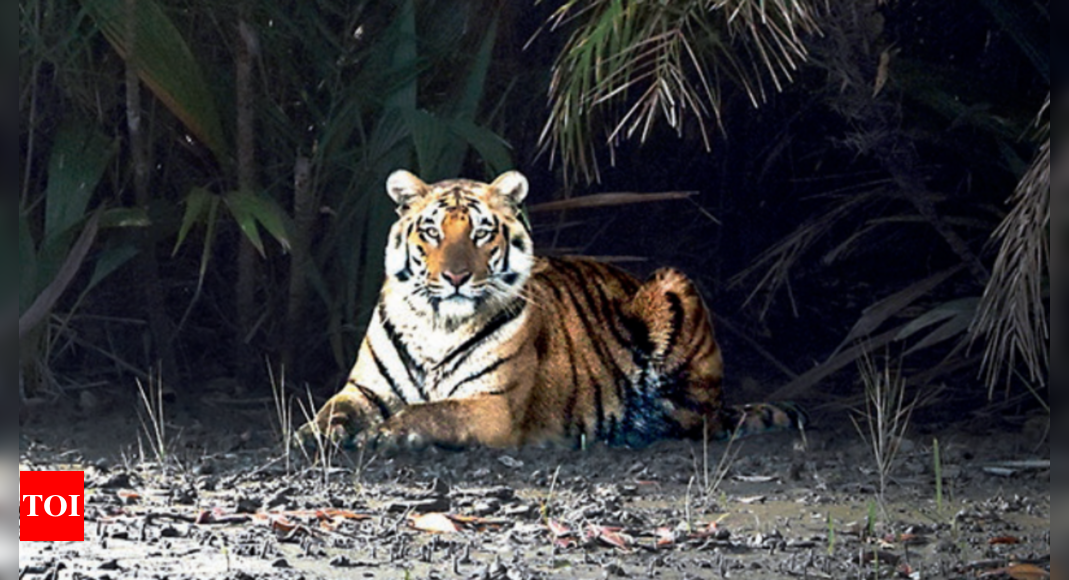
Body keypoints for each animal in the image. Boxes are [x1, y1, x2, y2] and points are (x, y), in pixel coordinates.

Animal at [297, 169, 803, 450]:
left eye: (480, 233)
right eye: (432, 232)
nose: (456, 277)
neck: (440, 322)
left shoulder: (491, 404)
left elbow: (434, 412)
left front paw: (389, 435)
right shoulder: (364, 390)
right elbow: (332, 410)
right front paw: (311, 435)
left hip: (675, 285)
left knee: (699, 419)